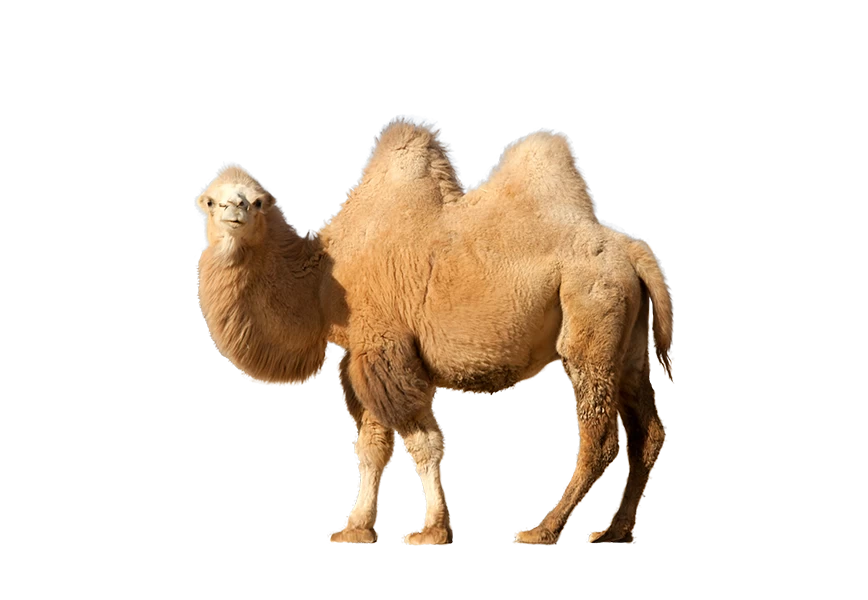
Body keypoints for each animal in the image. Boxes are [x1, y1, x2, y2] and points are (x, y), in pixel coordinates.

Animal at [194, 117, 674, 546]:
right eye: (211, 201)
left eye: (257, 202)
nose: (235, 211)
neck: (323, 279)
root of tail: (635, 252)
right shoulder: (362, 357)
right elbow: (372, 446)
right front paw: (357, 528)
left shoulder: (385, 347)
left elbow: (421, 443)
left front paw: (431, 531)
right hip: (628, 342)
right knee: (647, 431)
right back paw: (614, 532)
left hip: (590, 315)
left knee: (600, 436)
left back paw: (542, 530)